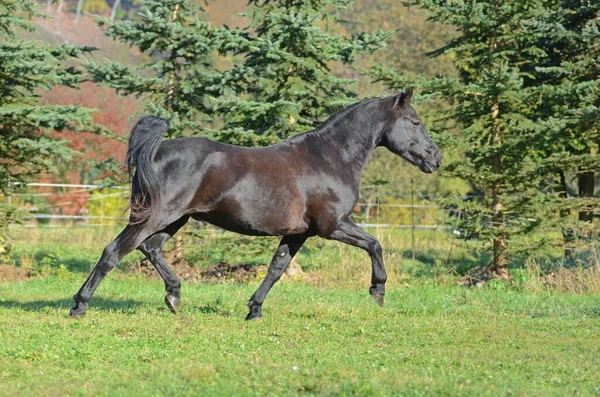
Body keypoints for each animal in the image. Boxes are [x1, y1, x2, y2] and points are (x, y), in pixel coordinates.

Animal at [72, 88, 442, 320]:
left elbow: (276, 269)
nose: (436, 159)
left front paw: (254, 309)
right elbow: (375, 244)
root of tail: (156, 150)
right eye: (416, 122)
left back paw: (174, 297)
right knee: (114, 252)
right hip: (155, 216)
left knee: (150, 249)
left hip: (175, 219)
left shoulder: (299, 233)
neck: (331, 157)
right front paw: (378, 290)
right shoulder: (332, 226)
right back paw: (79, 305)